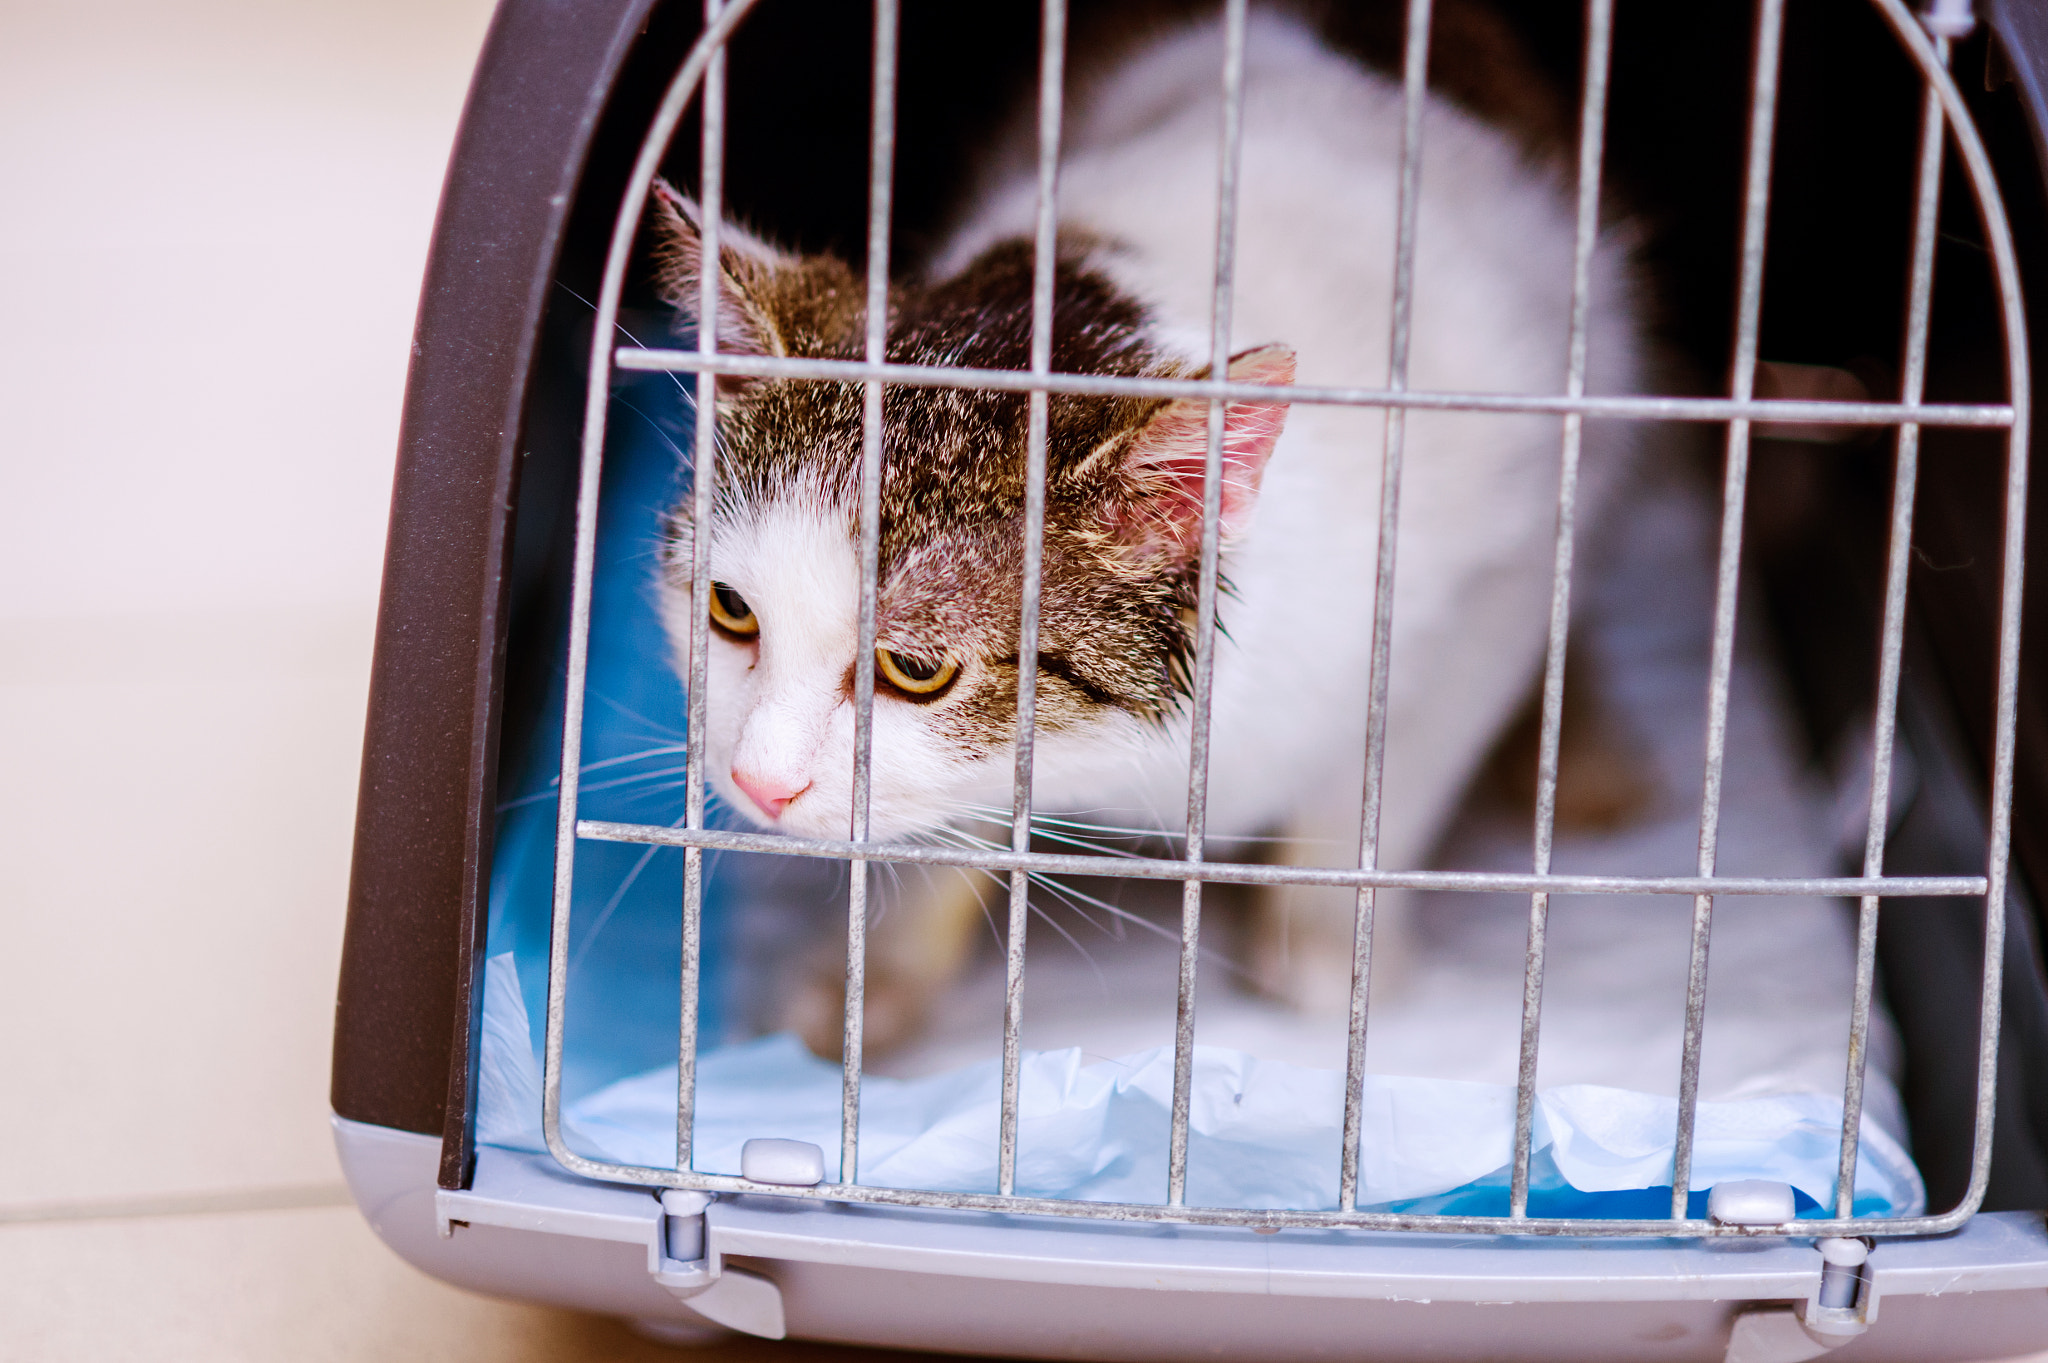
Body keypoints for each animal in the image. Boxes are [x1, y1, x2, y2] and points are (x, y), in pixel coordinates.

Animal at [651, 2, 1646, 1047]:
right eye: (728, 610)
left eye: (913, 668)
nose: (758, 783)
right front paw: (876, 981)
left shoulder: (1499, 572)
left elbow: (1384, 780)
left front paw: (1325, 957)